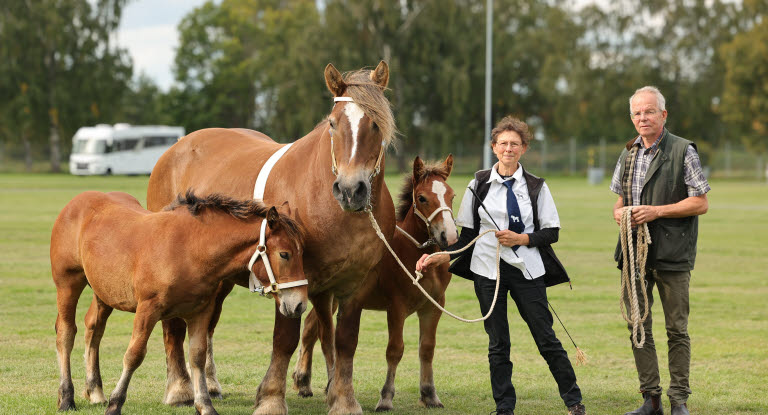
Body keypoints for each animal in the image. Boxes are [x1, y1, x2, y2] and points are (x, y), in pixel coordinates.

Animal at [50, 192, 308, 415]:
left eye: (301, 252)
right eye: (284, 254)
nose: (299, 305)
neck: (190, 250)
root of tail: (76, 201)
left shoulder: (201, 312)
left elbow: (197, 356)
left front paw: (205, 405)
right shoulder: (148, 309)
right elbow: (134, 355)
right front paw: (115, 405)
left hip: (104, 293)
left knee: (94, 329)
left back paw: (95, 392)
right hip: (68, 283)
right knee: (66, 332)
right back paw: (66, 398)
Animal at [292, 156, 460, 412]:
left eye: (451, 195)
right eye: (422, 198)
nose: (448, 236)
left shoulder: (433, 306)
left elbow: (427, 349)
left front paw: (430, 395)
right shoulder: (397, 307)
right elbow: (395, 350)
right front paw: (386, 398)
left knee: (311, 327)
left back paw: (304, 382)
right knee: (319, 331)